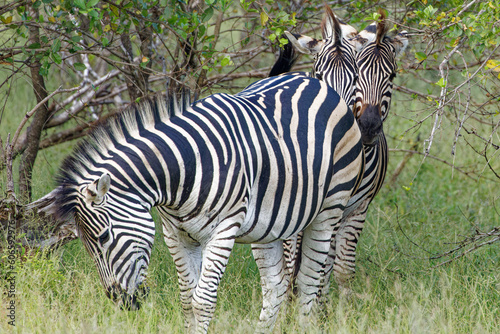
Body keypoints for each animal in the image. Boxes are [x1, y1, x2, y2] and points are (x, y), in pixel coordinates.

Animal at [32, 73, 364, 332]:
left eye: (103, 238)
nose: (123, 303)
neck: (181, 173)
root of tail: (313, 81)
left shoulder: (223, 230)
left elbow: (203, 300)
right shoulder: (175, 234)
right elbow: (187, 299)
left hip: (330, 210)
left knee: (308, 283)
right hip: (270, 225)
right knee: (276, 287)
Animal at [272, 9, 408, 298]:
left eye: (391, 76)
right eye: (319, 75)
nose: (368, 126)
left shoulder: (356, 209)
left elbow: (339, 270)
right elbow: (296, 267)